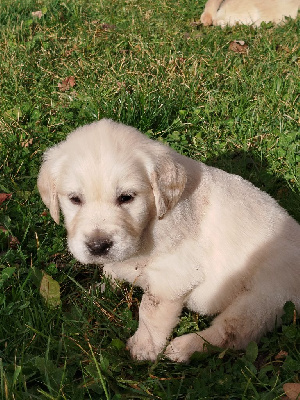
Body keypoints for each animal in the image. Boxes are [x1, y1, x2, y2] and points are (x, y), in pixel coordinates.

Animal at [37, 119, 300, 362]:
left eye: (127, 197)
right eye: (74, 199)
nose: (98, 246)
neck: (151, 222)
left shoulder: (171, 276)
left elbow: (150, 310)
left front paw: (144, 347)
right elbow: (113, 270)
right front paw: (102, 287)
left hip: (263, 297)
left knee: (234, 332)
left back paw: (185, 348)